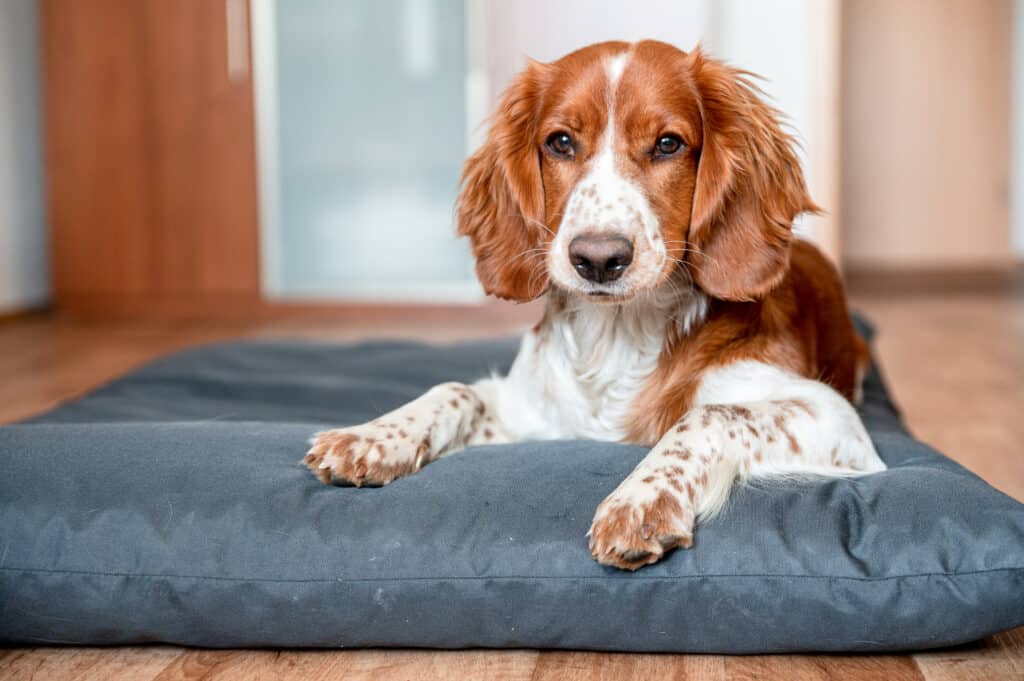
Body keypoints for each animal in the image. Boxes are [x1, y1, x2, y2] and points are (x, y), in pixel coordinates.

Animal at [303, 38, 888, 569]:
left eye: (668, 144)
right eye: (560, 142)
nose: (599, 258)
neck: (618, 335)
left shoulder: (835, 420)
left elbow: (707, 415)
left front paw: (642, 498)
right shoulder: (535, 417)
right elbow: (454, 390)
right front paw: (374, 437)